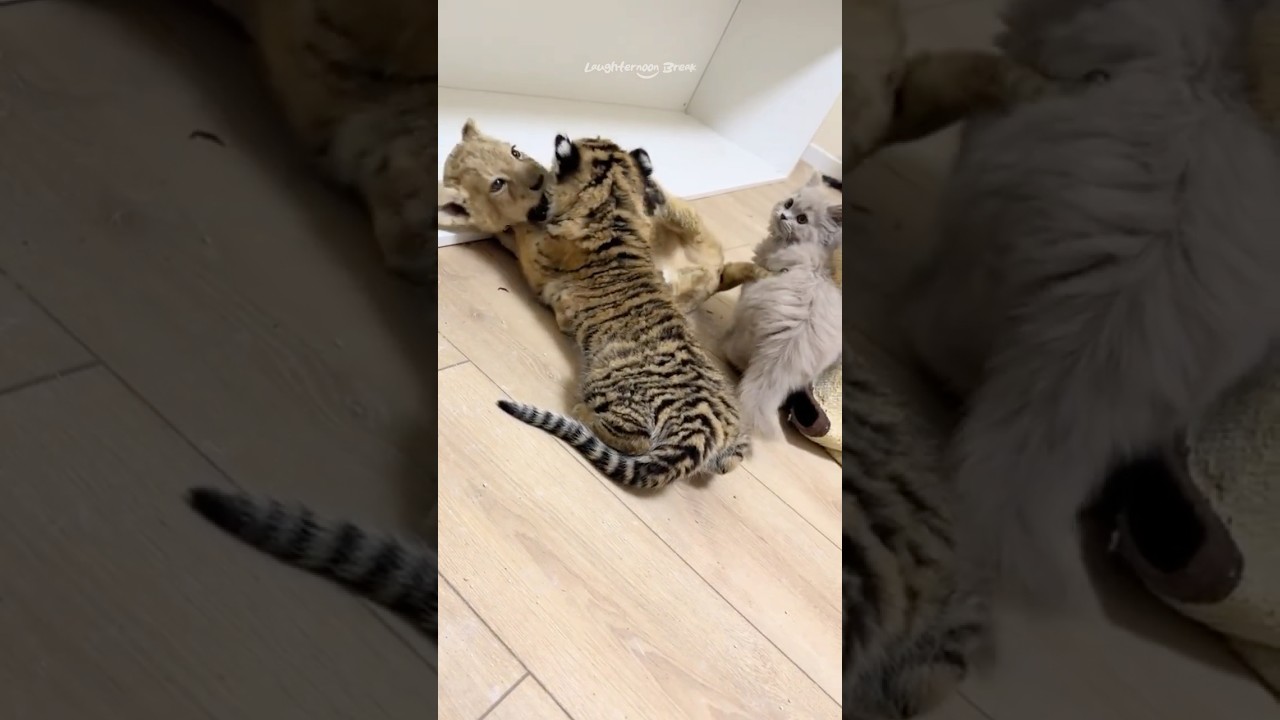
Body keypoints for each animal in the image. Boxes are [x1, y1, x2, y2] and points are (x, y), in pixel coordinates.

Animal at [495, 135, 750, 489]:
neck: (615, 204)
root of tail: (702, 435)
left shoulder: (538, 263)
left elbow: (521, 235)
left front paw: (504, 222)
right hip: (734, 436)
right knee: (733, 459)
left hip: (606, 385)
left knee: (634, 441)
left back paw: (581, 413)